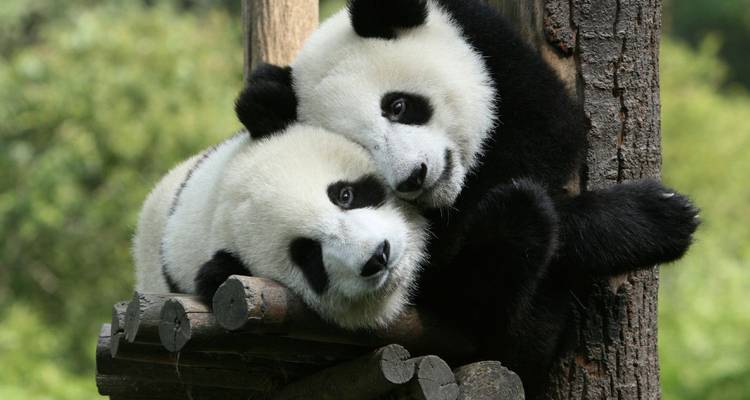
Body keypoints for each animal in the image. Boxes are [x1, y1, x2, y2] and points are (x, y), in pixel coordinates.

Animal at [234, 0, 699, 394]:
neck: (455, 192)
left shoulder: (495, 54)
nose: (414, 177)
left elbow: (550, 131)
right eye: (361, 147)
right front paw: (657, 218)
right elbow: (451, 272)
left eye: (398, 106)